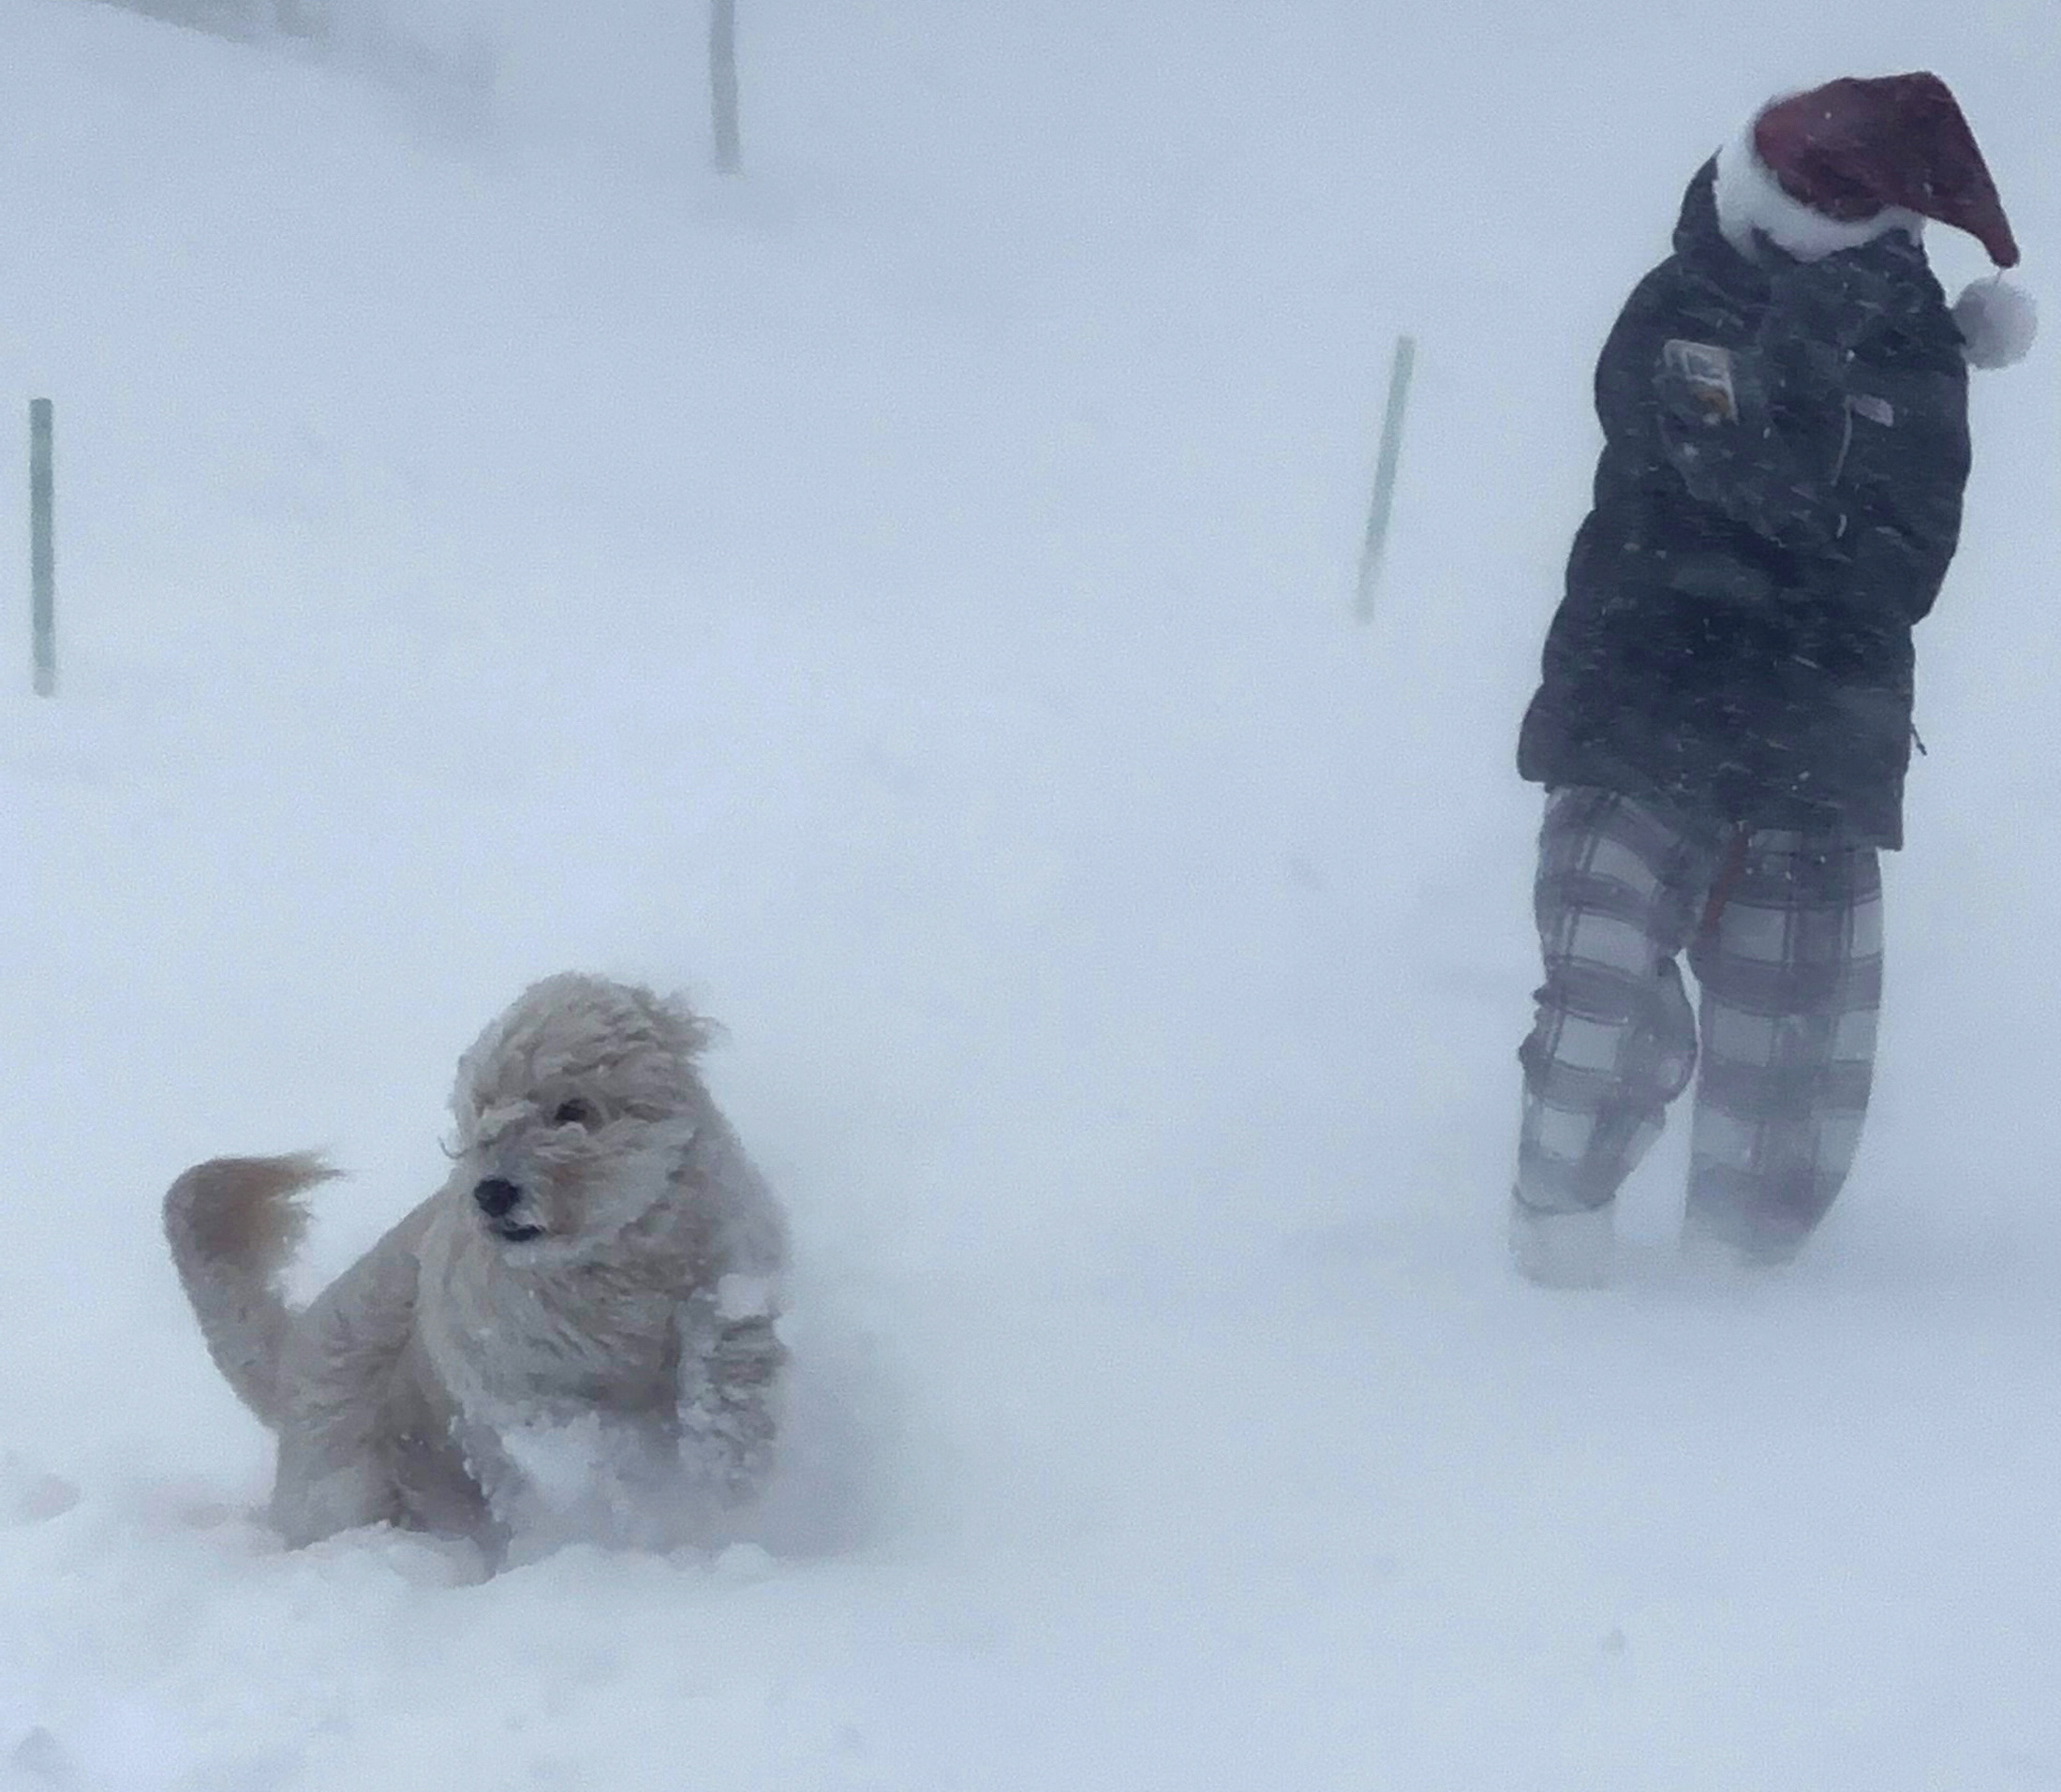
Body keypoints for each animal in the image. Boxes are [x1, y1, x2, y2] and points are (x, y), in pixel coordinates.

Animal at [160, 976, 783, 1565]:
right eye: (481, 1112)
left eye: (573, 1109)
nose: (493, 1192)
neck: (609, 1265)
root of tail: (292, 1362)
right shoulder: (514, 1381)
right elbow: (585, 1447)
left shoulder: (732, 1283)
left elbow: (726, 1368)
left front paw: (723, 1461)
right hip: (352, 1488)